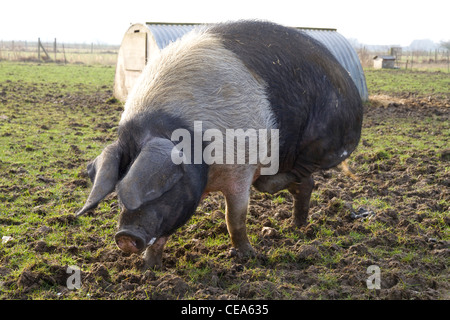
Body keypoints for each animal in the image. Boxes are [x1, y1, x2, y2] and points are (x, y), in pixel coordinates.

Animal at [76, 20, 362, 270]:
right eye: (118, 193)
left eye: (163, 188)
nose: (125, 236)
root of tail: (347, 80)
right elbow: (163, 234)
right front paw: (149, 269)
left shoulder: (241, 168)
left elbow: (234, 218)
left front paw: (246, 256)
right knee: (300, 184)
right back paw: (296, 226)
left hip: (321, 142)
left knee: (294, 177)